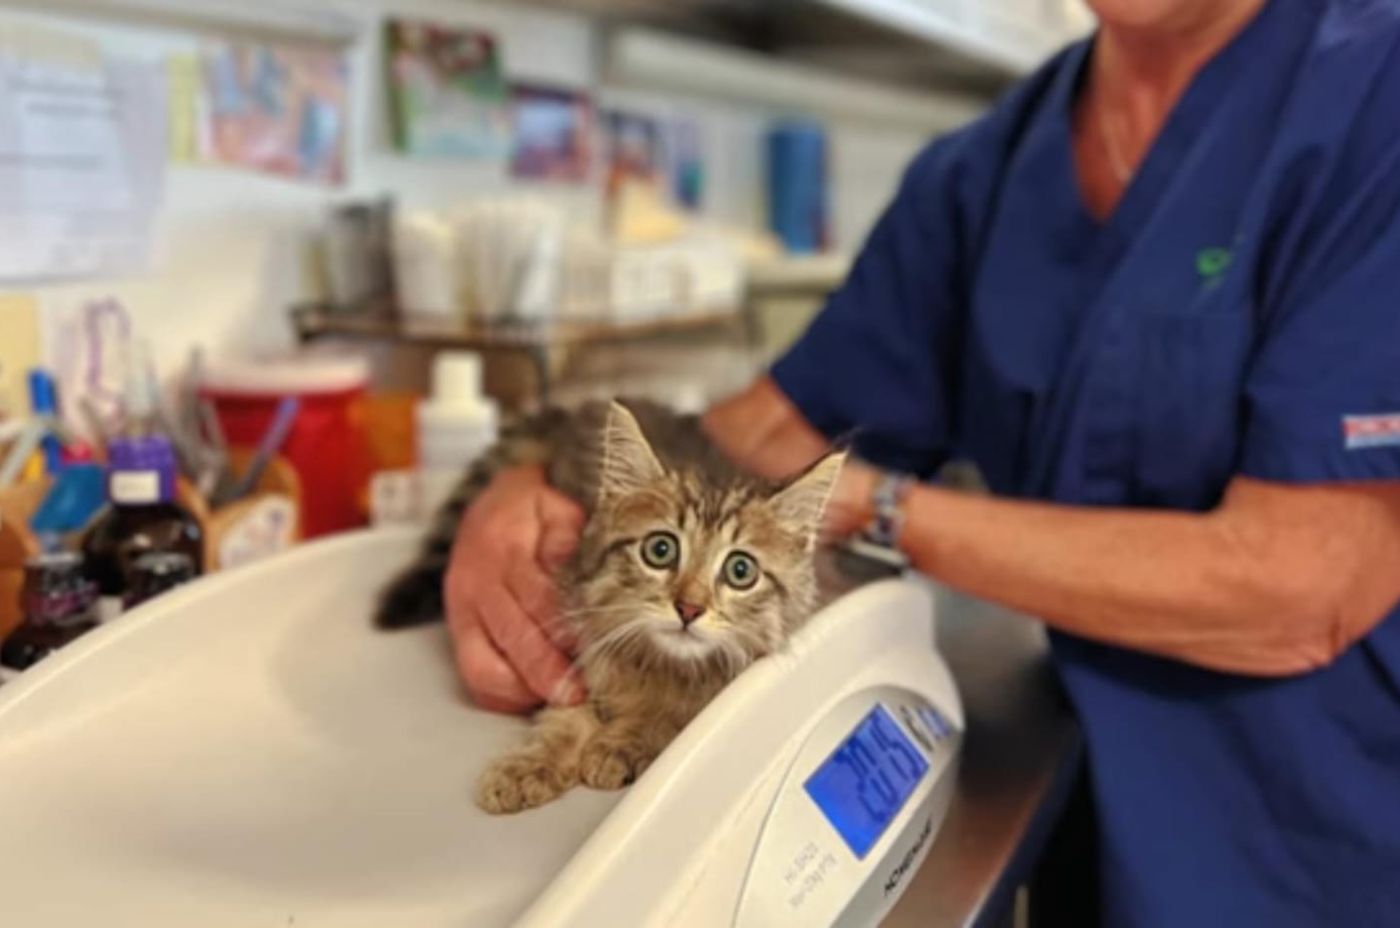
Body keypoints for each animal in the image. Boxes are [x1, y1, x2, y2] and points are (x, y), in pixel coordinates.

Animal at [375, 400, 840, 811]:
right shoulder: (575, 638)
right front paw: (530, 766)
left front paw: (626, 741)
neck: (661, 666)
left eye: (741, 570)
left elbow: (678, 715)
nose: (689, 609)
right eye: (660, 549)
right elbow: (565, 717)